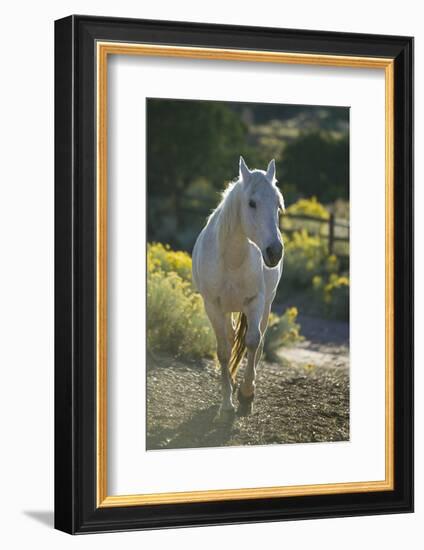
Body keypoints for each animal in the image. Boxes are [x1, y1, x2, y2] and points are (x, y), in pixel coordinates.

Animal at [193, 157, 284, 420]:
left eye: (278, 204)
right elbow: (224, 351)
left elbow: (252, 342)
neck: (231, 260)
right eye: (251, 203)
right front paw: (227, 403)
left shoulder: (255, 302)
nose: (274, 252)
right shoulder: (213, 306)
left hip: (266, 305)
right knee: (232, 336)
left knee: (258, 342)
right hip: (228, 309)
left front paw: (245, 397)